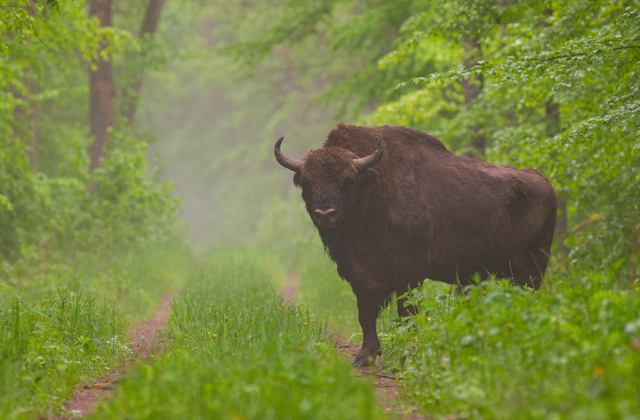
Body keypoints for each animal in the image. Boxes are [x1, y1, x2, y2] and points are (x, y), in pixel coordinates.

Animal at [274, 123, 556, 366]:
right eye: (307, 183)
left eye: (348, 180)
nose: (325, 214)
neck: (373, 194)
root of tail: (544, 183)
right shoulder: (361, 277)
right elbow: (365, 315)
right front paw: (365, 356)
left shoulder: (409, 273)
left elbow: (407, 312)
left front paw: (408, 352)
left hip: (530, 270)